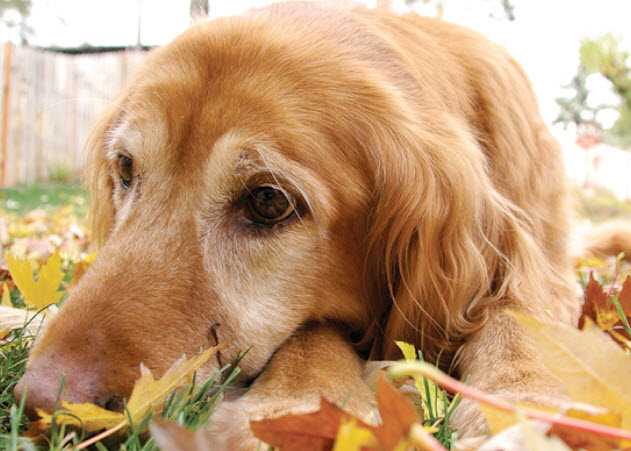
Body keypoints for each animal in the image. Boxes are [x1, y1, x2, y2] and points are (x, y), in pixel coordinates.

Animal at [16, 2, 584, 448]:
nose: (43, 401)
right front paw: (295, 406)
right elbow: (312, 330)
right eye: (126, 168)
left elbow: (517, 312)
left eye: (268, 201)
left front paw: (526, 399)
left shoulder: (540, 268)